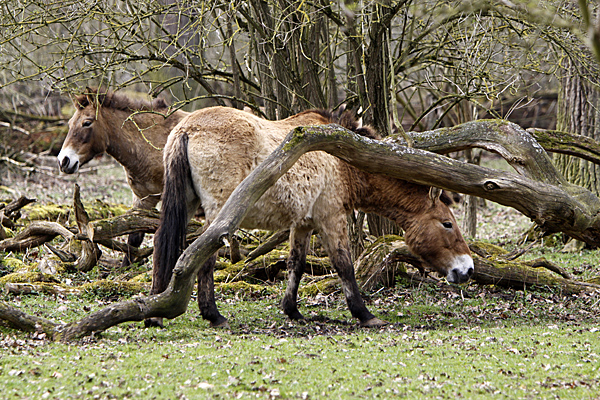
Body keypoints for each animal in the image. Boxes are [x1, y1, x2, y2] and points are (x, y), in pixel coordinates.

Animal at [56, 89, 189, 268]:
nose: (63, 161)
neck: (155, 144)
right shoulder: (143, 198)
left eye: (87, 123)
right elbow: (134, 236)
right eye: (70, 123)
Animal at [151, 106, 474, 328]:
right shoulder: (332, 218)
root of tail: (187, 129)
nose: (467, 269)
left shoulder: (303, 224)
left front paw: (292, 310)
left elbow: (296, 264)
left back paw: (156, 312)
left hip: (187, 204)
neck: (344, 161)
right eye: (447, 223)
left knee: (161, 244)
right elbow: (344, 265)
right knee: (204, 254)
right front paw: (364, 314)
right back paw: (213, 315)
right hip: (219, 213)